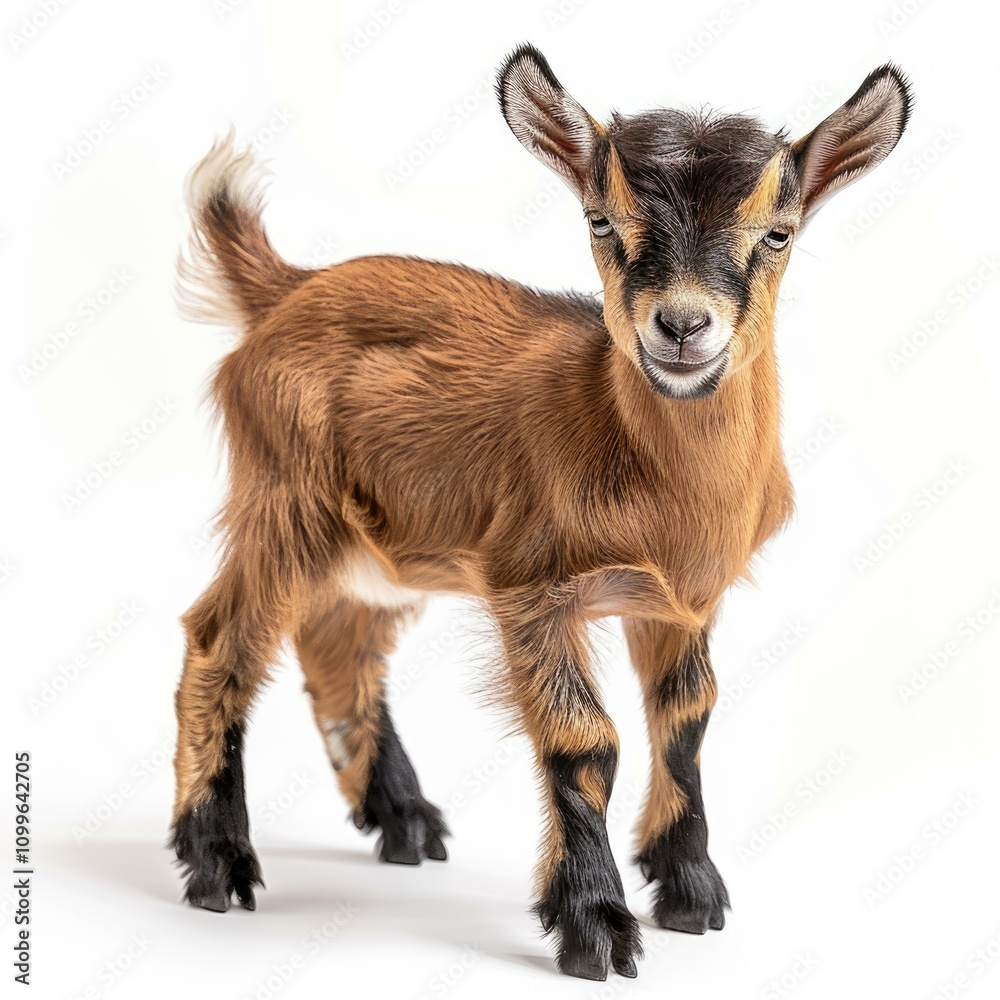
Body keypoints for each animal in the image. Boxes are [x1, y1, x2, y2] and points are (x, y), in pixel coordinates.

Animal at [170, 44, 911, 980]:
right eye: (601, 221)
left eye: (778, 233)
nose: (681, 326)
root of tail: (285, 291)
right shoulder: (531, 585)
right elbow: (584, 738)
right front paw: (595, 925)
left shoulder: (681, 601)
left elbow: (685, 722)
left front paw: (691, 894)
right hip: (283, 498)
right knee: (220, 639)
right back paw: (216, 862)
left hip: (380, 541)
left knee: (341, 640)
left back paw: (404, 821)